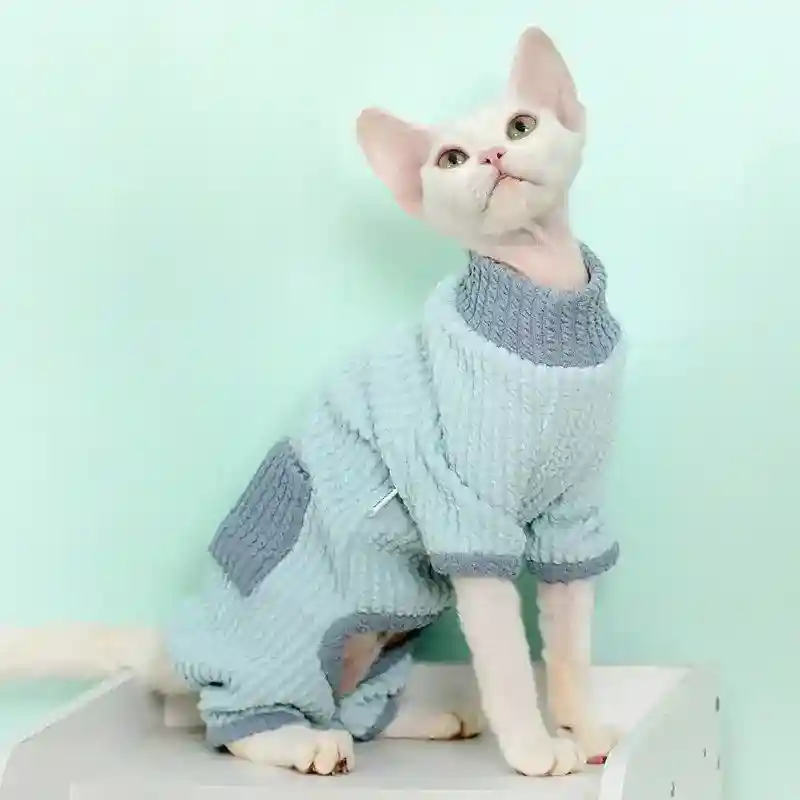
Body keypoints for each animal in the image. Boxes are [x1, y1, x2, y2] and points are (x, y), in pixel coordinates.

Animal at [0, 27, 624, 778]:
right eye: (450, 158)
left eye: (521, 126)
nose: (495, 156)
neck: (544, 309)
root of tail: (176, 642)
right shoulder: (465, 517)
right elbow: (506, 660)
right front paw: (534, 750)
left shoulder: (574, 517)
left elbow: (570, 650)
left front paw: (585, 729)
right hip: (290, 639)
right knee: (225, 719)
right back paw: (303, 743)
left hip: (388, 630)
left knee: (327, 708)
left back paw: (431, 719)